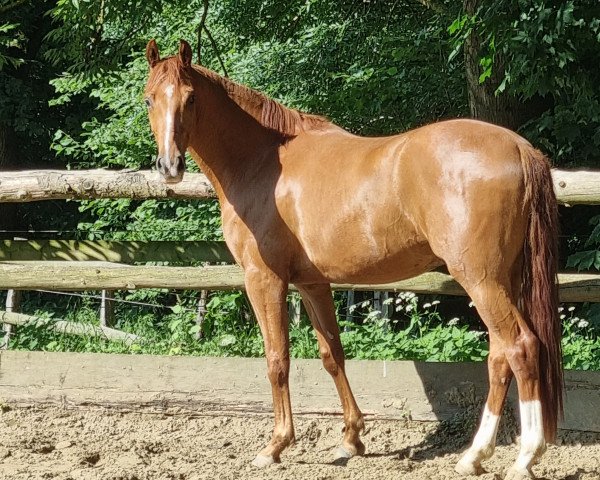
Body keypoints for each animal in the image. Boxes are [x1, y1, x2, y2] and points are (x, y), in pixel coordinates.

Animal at [144, 39, 564, 478]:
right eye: (149, 99)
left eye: (191, 98)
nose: (169, 166)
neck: (262, 162)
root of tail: (518, 147)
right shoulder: (312, 283)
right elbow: (333, 354)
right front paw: (351, 438)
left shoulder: (264, 279)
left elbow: (278, 360)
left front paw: (275, 445)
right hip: (502, 281)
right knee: (499, 357)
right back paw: (474, 455)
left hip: (481, 280)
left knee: (521, 348)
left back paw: (525, 457)